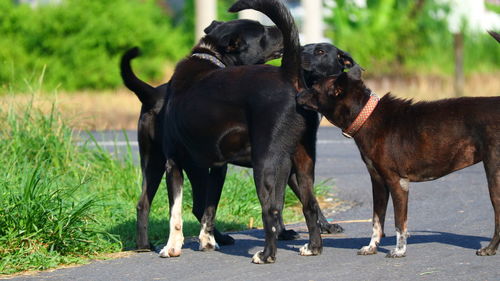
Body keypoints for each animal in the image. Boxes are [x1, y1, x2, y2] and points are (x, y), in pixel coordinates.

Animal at [296, 65, 500, 256]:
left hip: (494, 177)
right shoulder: (378, 182)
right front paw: (372, 247)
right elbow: (377, 221)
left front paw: (400, 250)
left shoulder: (397, 182)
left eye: (314, 87)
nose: (297, 94)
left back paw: (489, 248)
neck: (366, 116)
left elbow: (399, 222)